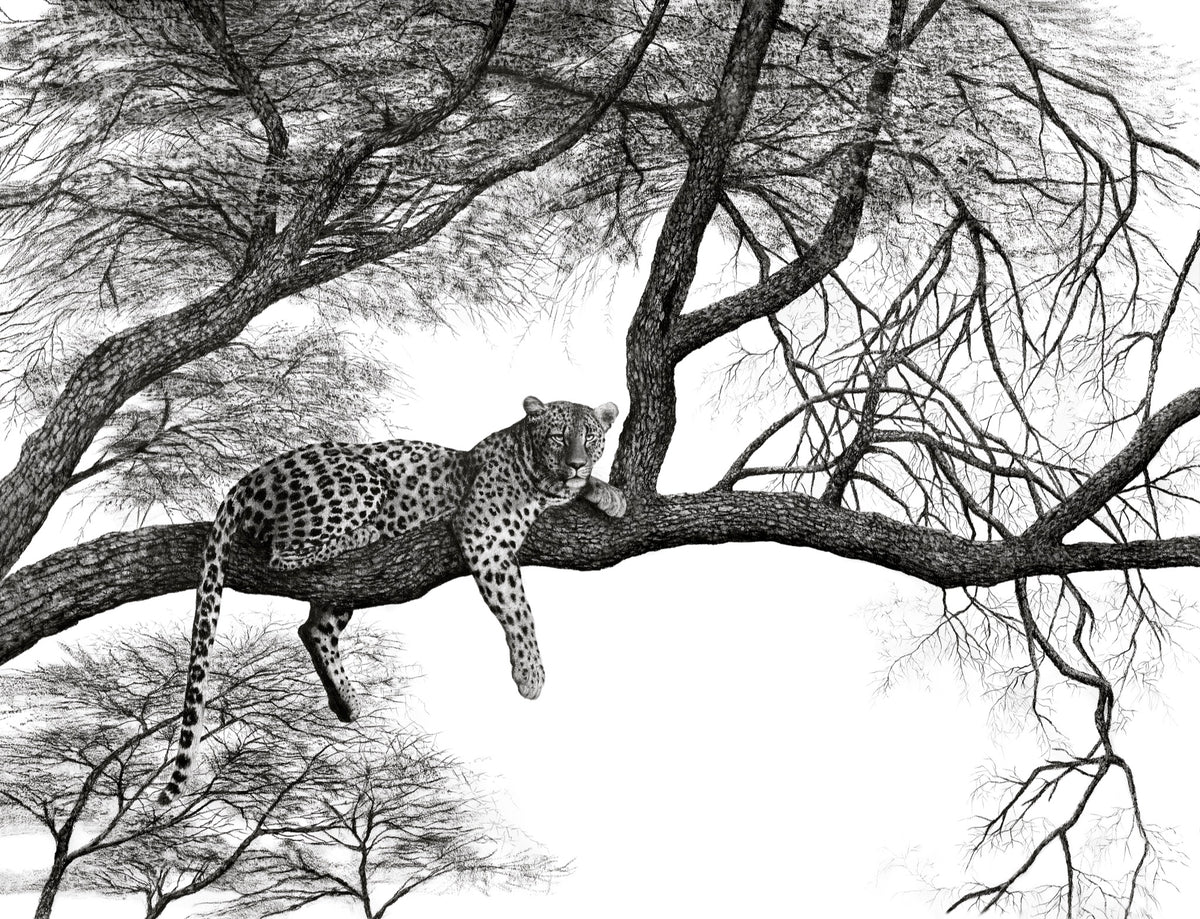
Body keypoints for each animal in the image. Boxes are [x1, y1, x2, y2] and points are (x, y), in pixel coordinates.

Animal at [157, 396, 626, 804]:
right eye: (559, 436)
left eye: (590, 437)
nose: (576, 463)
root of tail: (254, 474)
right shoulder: (485, 533)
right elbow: (519, 609)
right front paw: (530, 674)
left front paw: (608, 494)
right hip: (362, 479)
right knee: (283, 553)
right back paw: (368, 534)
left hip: (346, 588)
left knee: (313, 627)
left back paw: (347, 700)